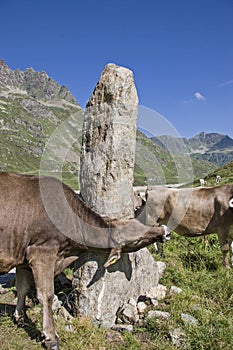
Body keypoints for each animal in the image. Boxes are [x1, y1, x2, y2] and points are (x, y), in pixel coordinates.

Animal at [0, 173, 165, 350]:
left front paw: (21, 317)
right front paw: (51, 336)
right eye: (137, 240)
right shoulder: (41, 252)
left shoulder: (23, 257)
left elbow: (22, 288)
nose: (164, 230)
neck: (68, 252)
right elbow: (46, 295)